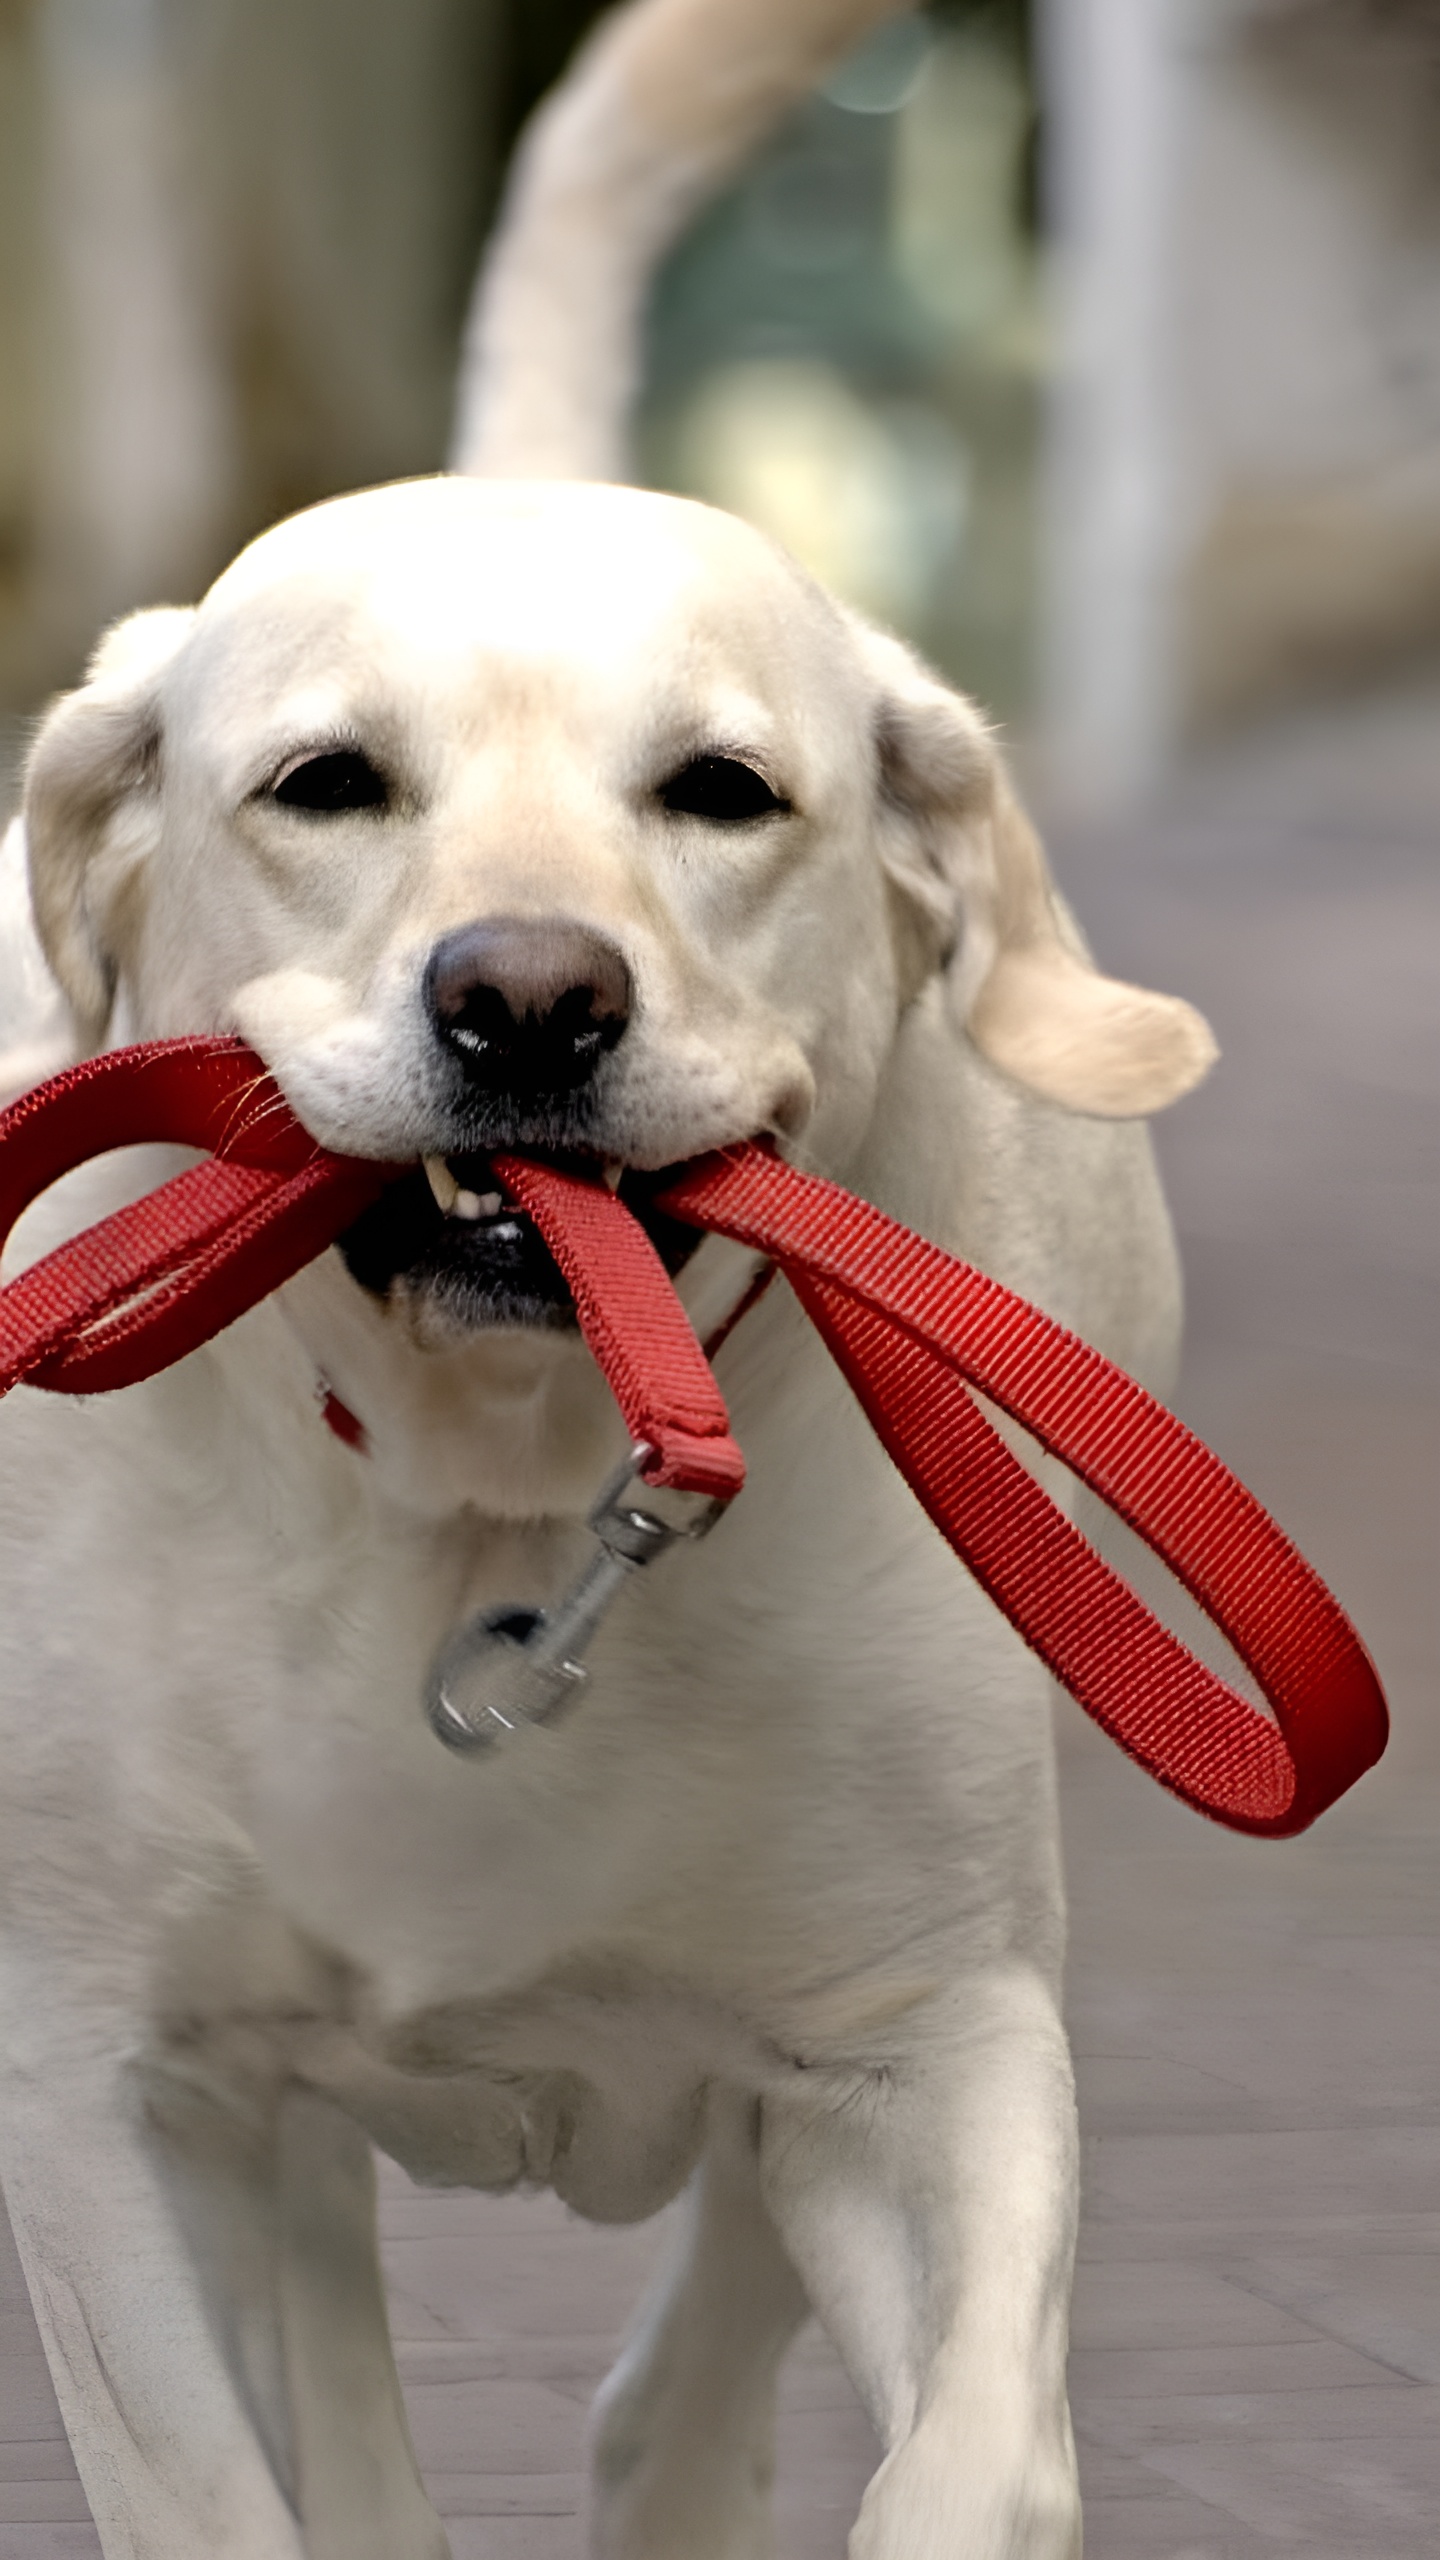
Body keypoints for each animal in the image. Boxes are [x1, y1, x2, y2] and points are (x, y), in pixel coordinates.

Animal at [0, 5, 1209, 2560]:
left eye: (724, 790)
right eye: (327, 782)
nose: (528, 999)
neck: (494, 1501)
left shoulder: (930, 2033)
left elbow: (976, 2453)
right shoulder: (98, 2078)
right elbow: (218, 2474)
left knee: (683, 2370)